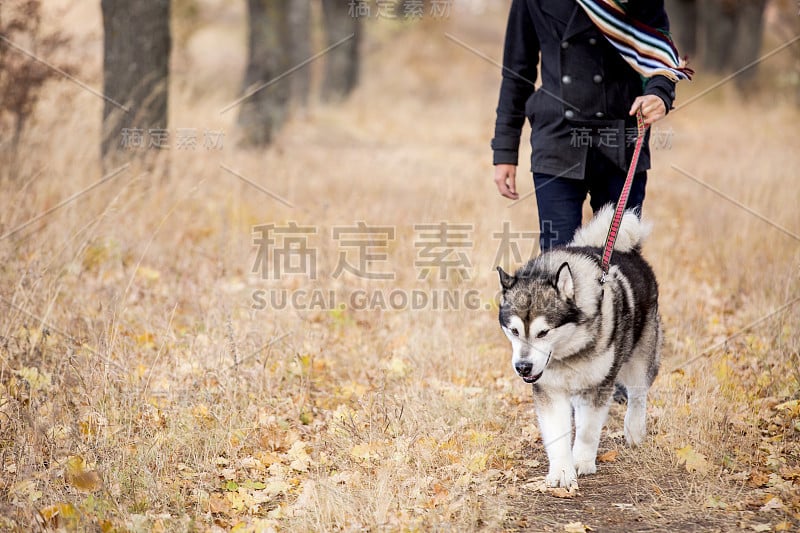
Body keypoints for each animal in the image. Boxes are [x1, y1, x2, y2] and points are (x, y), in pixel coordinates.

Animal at [496, 206, 660, 488]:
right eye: (514, 331)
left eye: (543, 332)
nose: (523, 367)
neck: (569, 352)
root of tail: (629, 251)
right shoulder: (550, 390)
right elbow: (557, 433)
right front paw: (562, 471)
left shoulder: (599, 386)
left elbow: (588, 431)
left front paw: (582, 461)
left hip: (639, 359)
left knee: (638, 394)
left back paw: (635, 430)